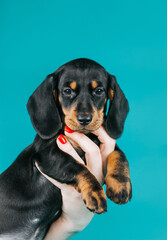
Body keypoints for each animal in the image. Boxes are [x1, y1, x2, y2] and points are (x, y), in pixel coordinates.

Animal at [0, 58, 132, 240]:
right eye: (67, 91)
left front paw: (120, 183)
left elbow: (119, 155)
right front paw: (95, 192)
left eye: (99, 91)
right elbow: (77, 166)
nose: (84, 119)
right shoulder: (47, 155)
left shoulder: (107, 143)